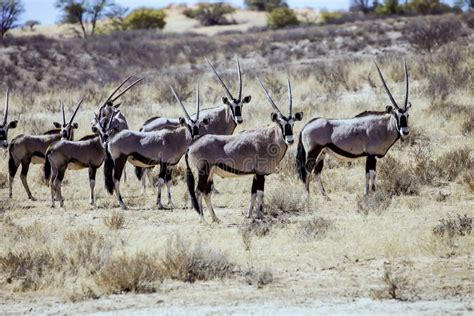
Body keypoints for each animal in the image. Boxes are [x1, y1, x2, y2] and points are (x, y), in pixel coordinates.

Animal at [136, 56, 252, 195]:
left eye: (241, 105)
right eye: (230, 105)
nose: (239, 120)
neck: (217, 119)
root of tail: (144, 126)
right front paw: (213, 189)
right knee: (146, 170)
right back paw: (146, 191)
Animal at [185, 76, 304, 222]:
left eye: (292, 124)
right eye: (280, 124)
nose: (290, 140)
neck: (269, 139)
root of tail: (191, 145)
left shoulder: (255, 174)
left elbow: (253, 193)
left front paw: (249, 215)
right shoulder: (260, 173)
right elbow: (260, 193)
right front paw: (260, 215)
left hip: (210, 173)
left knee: (206, 192)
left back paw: (215, 218)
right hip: (203, 171)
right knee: (198, 191)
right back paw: (203, 219)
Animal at [296, 60, 412, 196]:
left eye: (407, 115)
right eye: (396, 115)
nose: (405, 131)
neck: (382, 127)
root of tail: (305, 126)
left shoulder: (369, 156)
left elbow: (367, 174)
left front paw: (366, 193)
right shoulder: (371, 155)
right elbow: (372, 174)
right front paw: (373, 193)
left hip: (322, 153)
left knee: (317, 172)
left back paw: (325, 196)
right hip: (313, 152)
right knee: (307, 171)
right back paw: (307, 195)